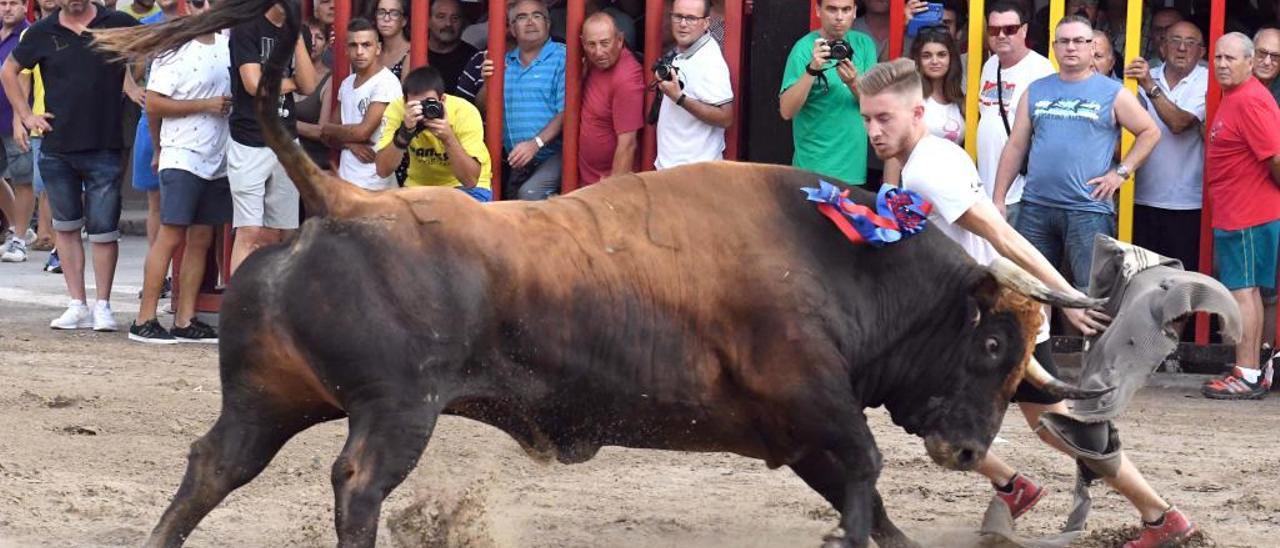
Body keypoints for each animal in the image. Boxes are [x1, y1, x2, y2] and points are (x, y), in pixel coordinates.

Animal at [94, 2, 1105, 545]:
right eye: (990, 344)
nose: (969, 449)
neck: (842, 255)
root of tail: (345, 202)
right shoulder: (812, 397)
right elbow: (863, 472)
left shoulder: (793, 426)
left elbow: (865, 496)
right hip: (397, 407)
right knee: (357, 481)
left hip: (269, 398)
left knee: (212, 466)